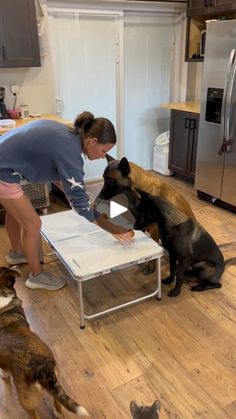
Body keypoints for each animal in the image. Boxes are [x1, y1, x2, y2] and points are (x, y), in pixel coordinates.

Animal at [0, 268, 89, 418]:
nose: (15, 267)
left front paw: (4, 375)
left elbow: (4, 369)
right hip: (56, 378)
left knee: (34, 414)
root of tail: (42, 368)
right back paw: (57, 413)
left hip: (26, 401)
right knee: (56, 399)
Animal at [99, 158, 234, 298]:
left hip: (201, 266)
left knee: (213, 282)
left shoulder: (153, 229)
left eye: (110, 180)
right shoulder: (141, 224)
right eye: (103, 178)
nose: (100, 196)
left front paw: (151, 267)